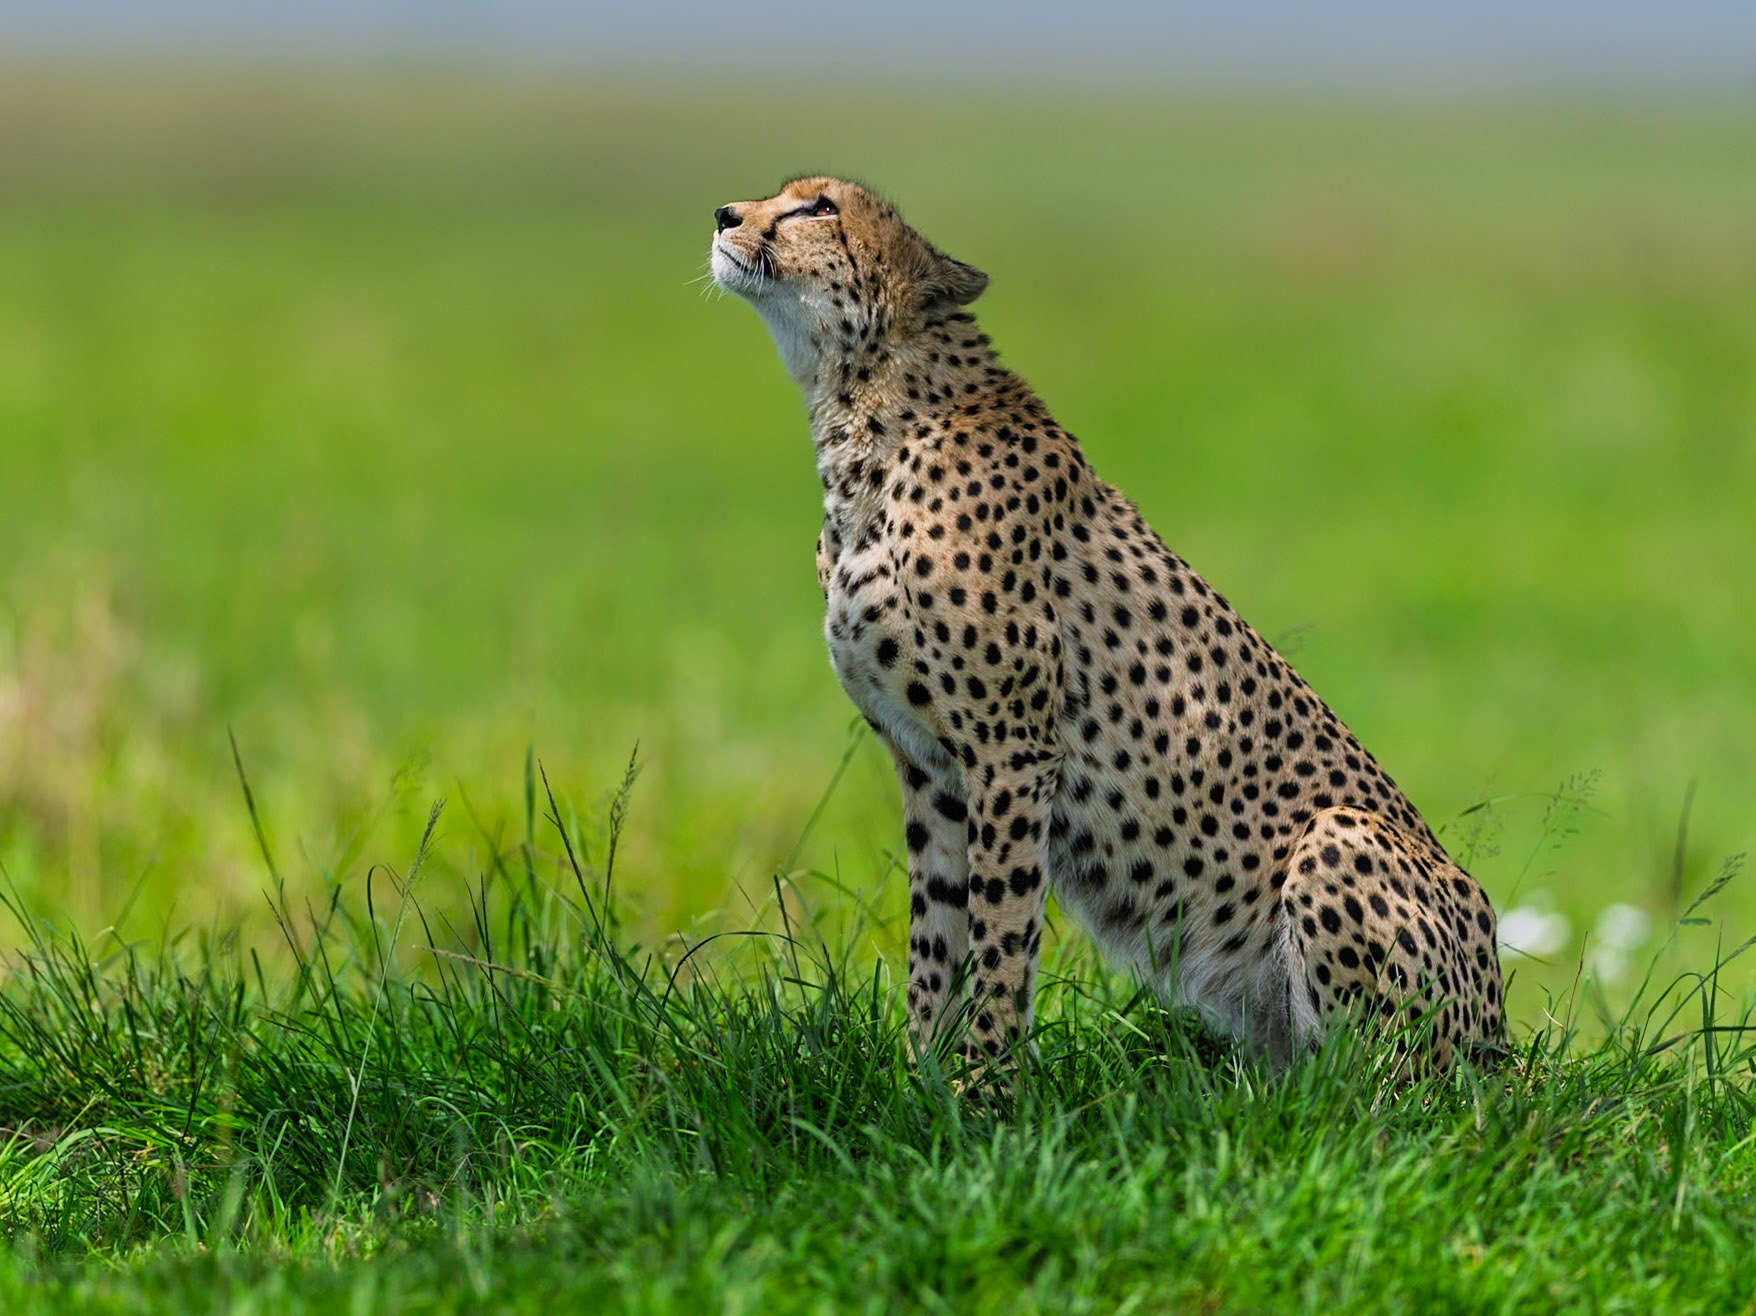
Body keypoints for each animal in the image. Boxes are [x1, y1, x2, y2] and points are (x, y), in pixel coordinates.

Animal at [709, 175, 1503, 1075]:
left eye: (819, 209)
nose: (725, 217)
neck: (867, 421)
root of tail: (1503, 1045)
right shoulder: (929, 767)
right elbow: (937, 941)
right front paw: (920, 1081)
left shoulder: (1012, 752)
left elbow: (1001, 937)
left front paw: (984, 1090)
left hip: (1345, 842)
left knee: (1383, 1094)